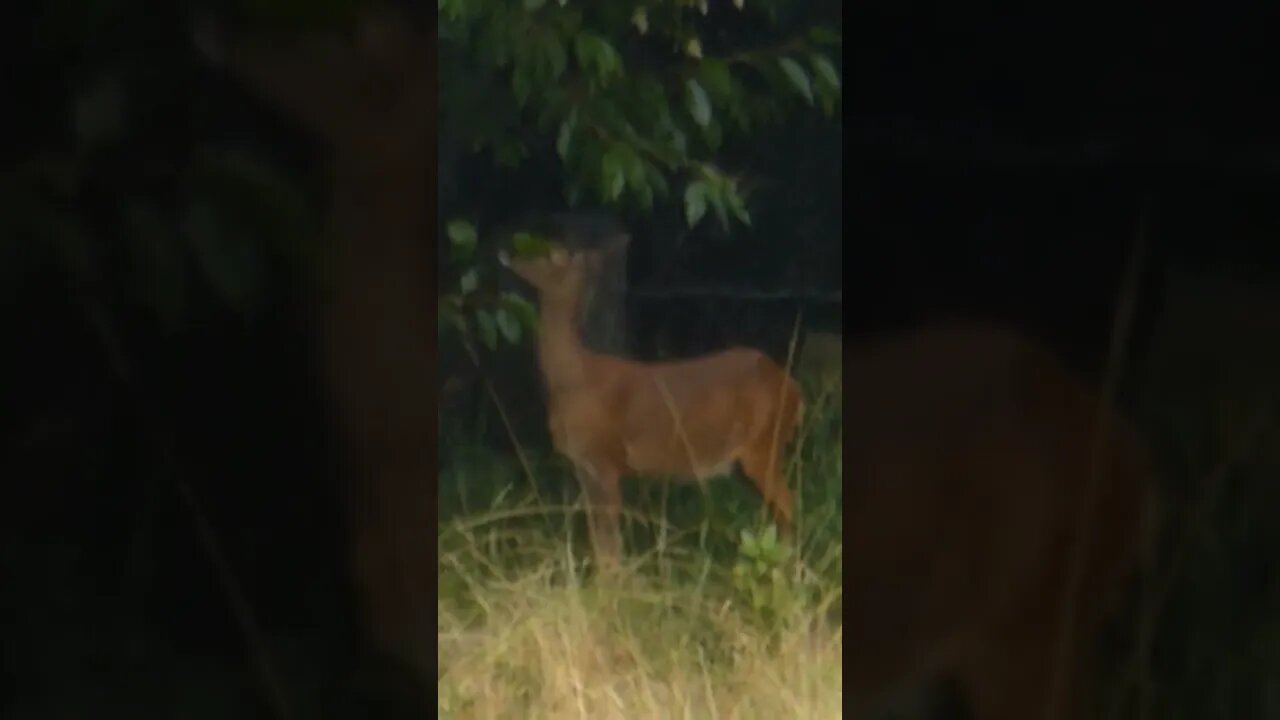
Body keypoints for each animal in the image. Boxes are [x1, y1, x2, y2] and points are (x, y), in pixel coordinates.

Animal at [496, 243, 803, 563]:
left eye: (552, 255)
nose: (505, 252)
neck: (574, 379)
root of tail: (794, 389)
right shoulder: (584, 466)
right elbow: (600, 542)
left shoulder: (606, 459)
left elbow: (610, 545)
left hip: (765, 443)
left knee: (790, 505)